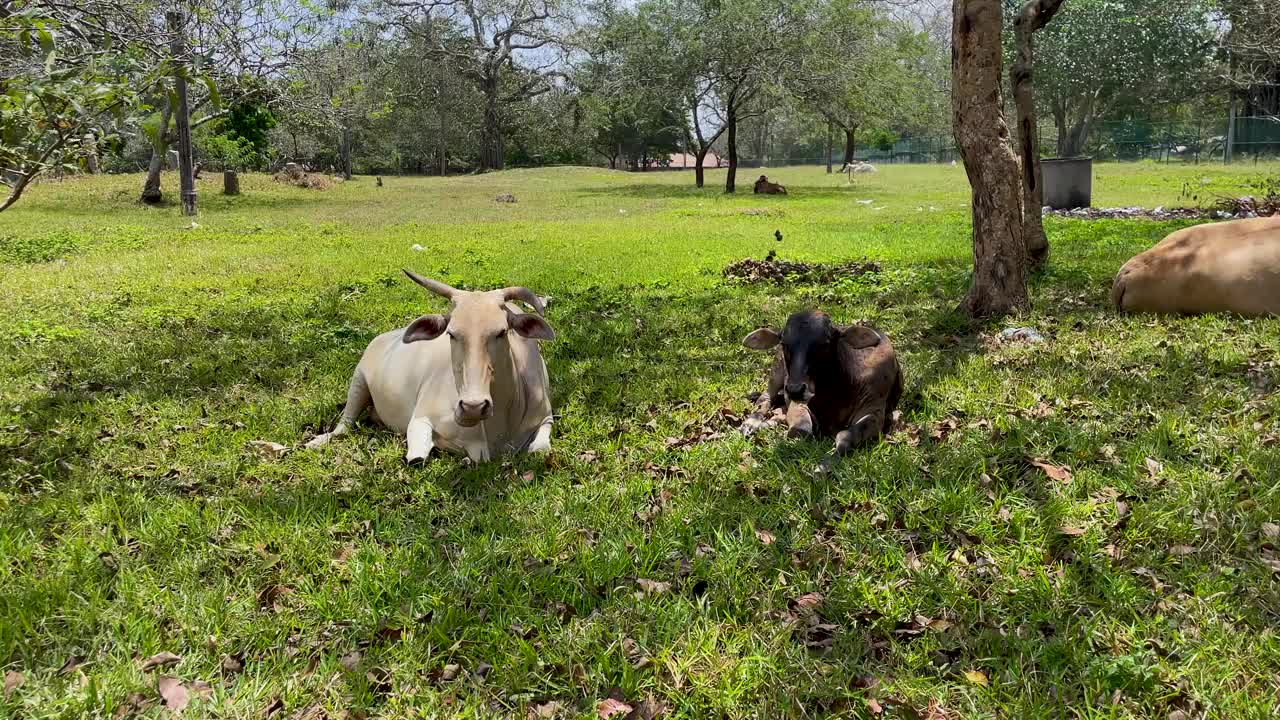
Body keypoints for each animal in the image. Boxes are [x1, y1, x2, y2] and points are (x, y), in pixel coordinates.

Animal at [308, 267, 555, 458]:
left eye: (502, 332)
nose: (473, 407)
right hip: (358, 380)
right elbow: (417, 456)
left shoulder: (546, 418)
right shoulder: (420, 419)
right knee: (344, 424)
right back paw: (317, 441)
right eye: (451, 334)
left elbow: (540, 449)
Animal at [742, 308, 901, 471]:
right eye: (784, 343)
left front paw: (823, 467)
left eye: (824, 344)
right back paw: (751, 423)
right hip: (777, 372)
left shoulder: (874, 410)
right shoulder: (799, 403)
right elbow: (801, 430)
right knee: (766, 397)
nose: (795, 390)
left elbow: (845, 437)